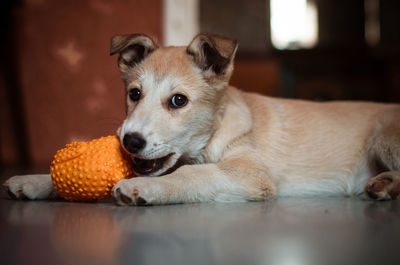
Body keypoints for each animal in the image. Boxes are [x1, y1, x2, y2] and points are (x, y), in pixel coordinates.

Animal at [3, 32, 400, 204]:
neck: (212, 135)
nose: (129, 141)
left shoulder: (252, 173)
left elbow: (193, 175)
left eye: (178, 101)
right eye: (134, 94)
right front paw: (34, 181)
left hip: (384, 135)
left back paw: (386, 184)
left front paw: (144, 188)